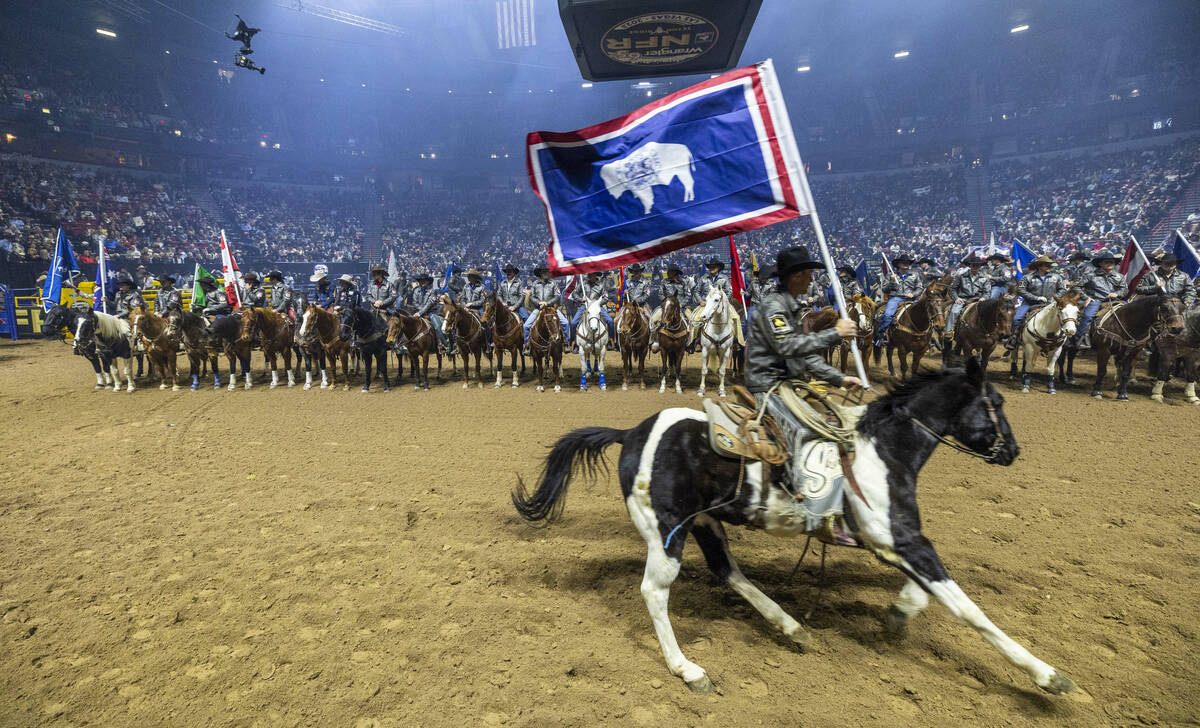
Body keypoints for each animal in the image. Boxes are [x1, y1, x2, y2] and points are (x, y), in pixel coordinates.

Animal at [511, 359, 1084, 700]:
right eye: (996, 403)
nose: (1012, 451)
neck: (882, 449)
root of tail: (631, 432)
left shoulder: (892, 541)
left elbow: (926, 590)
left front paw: (899, 615)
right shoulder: (903, 540)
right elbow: (968, 608)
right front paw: (1046, 674)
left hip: (706, 524)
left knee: (728, 573)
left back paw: (788, 626)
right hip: (667, 531)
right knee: (655, 591)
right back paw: (689, 669)